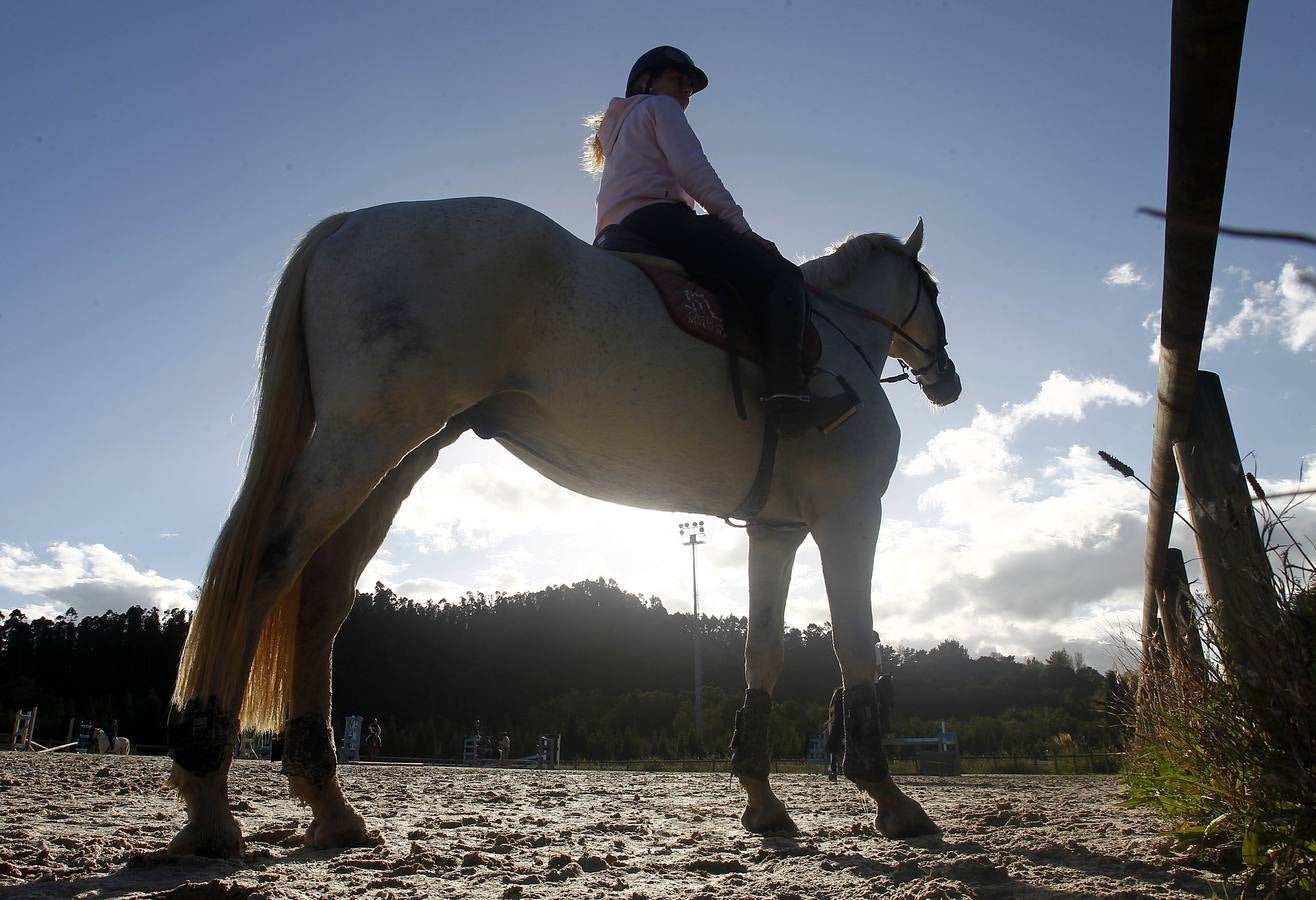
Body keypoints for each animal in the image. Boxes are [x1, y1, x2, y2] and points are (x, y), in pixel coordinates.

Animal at [169, 198, 963, 857]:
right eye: (934, 291)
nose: (947, 379)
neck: (834, 338)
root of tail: (353, 221)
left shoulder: (775, 530)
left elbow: (759, 658)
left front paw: (764, 804)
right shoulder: (850, 514)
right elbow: (855, 648)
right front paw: (892, 801)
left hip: (399, 456)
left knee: (323, 599)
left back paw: (330, 808)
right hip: (361, 442)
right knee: (265, 569)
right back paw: (208, 800)